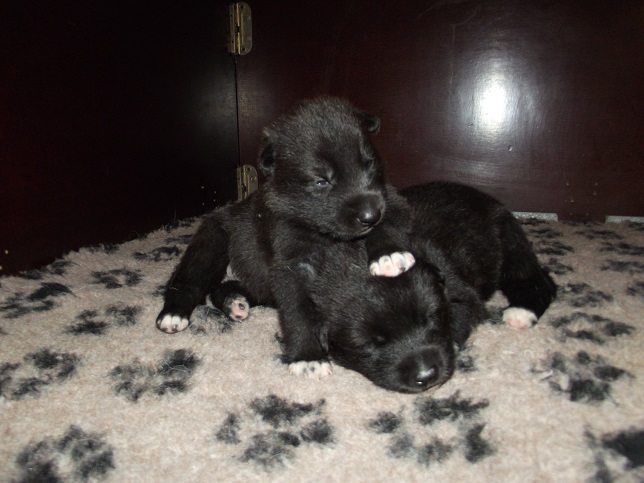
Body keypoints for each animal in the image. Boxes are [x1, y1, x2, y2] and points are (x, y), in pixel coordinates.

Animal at [158, 97, 416, 374]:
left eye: (369, 163)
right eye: (321, 181)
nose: (370, 215)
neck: (323, 233)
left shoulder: (391, 201)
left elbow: (389, 222)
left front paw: (390, 255)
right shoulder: (291, 262)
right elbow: (298, 311)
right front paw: (308, 357)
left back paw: (234, 302)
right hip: (211, 241)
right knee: (190, 279)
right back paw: (174, 314)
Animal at [214, 180, 556, 396]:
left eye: (432, 319)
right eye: (369, 344)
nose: (426, 375)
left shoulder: (460, 291)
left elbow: (464, 310)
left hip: (508, 238)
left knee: (539, 280)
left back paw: (521, 311)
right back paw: (234, 300)